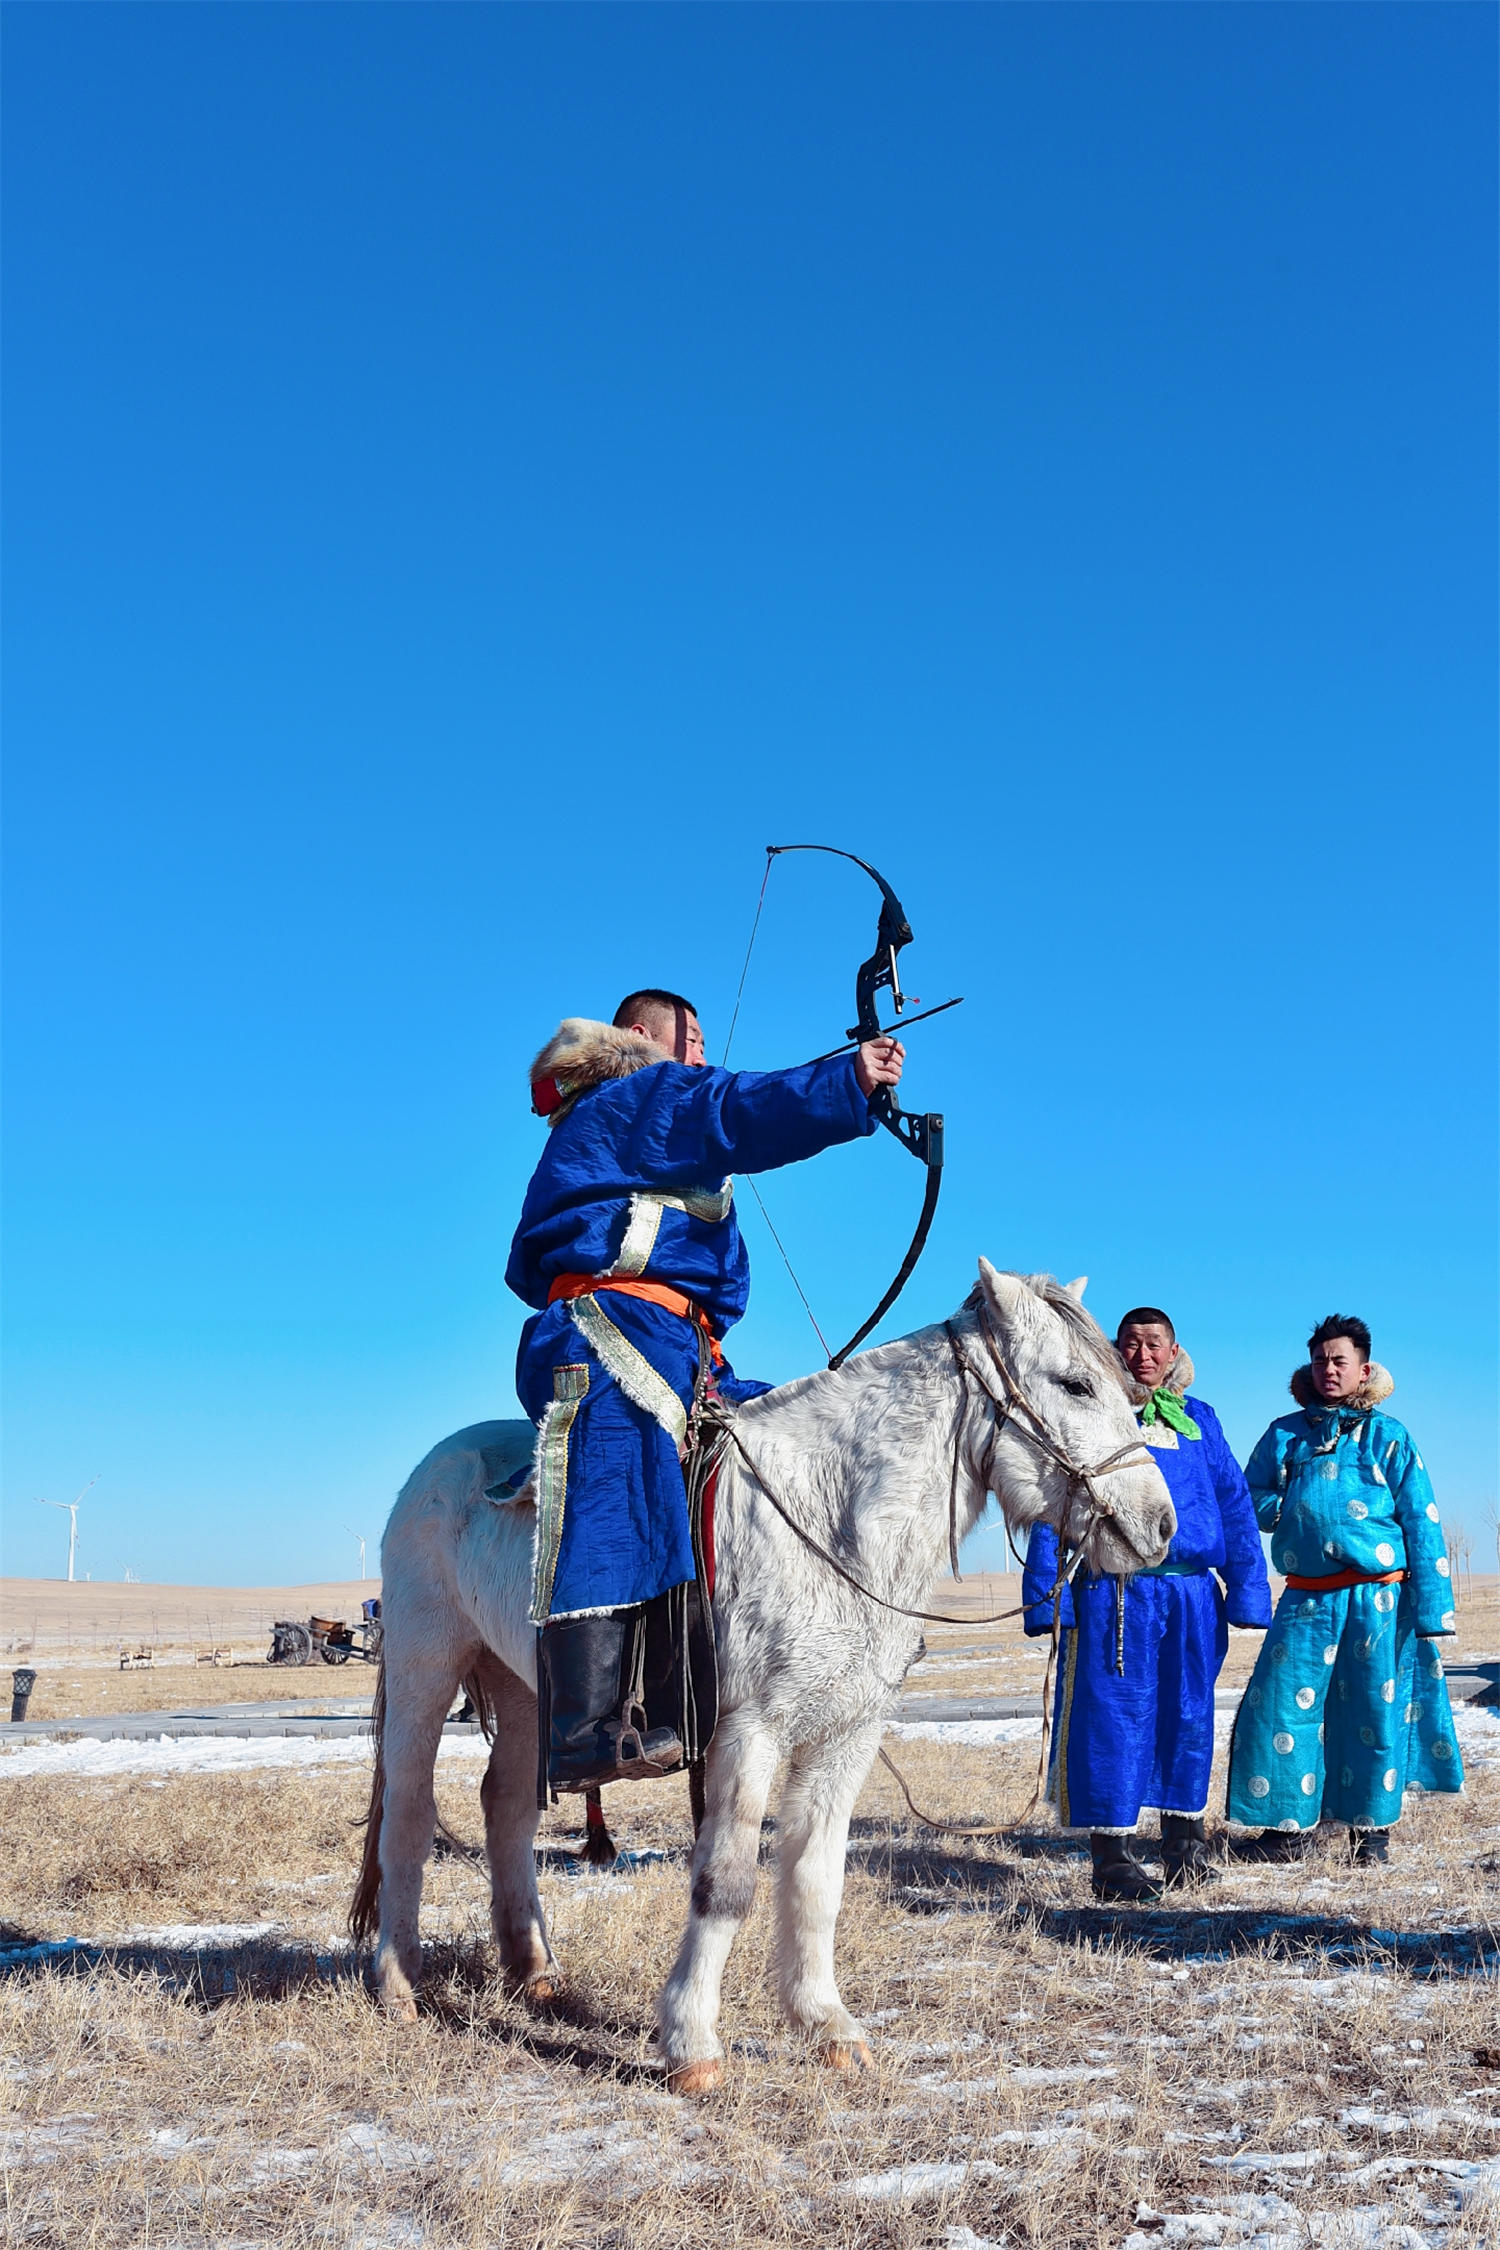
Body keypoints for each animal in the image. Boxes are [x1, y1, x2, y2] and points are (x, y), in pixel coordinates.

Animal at [353, 1269, 1169, 2088]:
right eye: (1073, 1383)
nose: (1160, 1527)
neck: (830, 1519)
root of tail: (433, 1468)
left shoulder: (846, 1735)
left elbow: (816, 1876)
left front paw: (824, 2024)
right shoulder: (751, 1731)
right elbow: (727, 1882)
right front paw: (692, 2044)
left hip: (528, 1691)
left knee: (508, 1808)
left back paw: (535, 1971)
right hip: (426, 1665)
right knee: (411, 1813)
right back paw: (396, 1985)